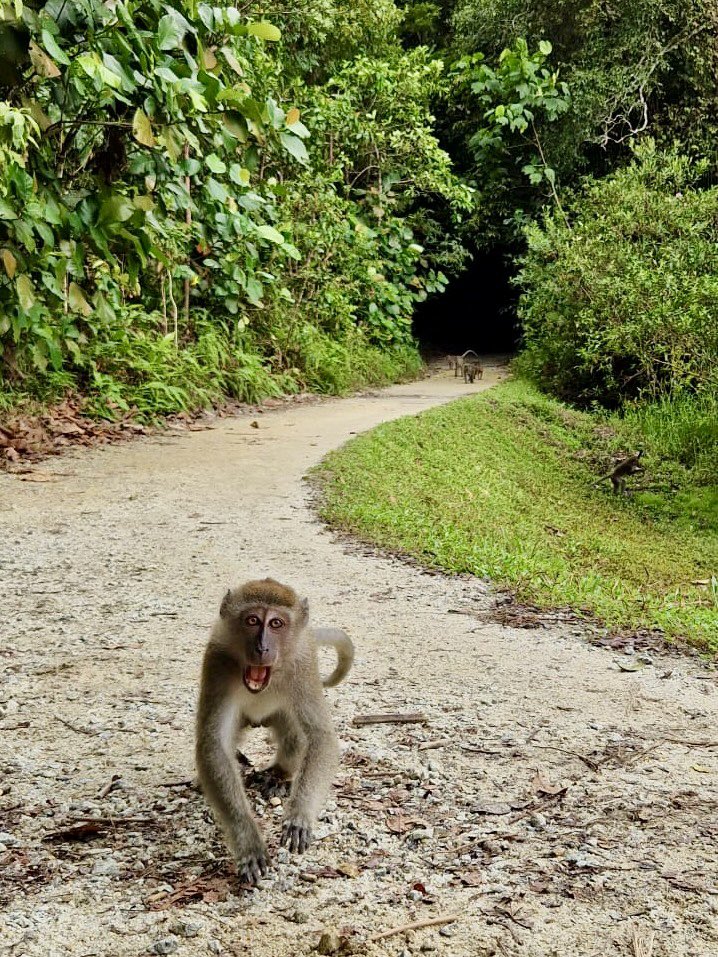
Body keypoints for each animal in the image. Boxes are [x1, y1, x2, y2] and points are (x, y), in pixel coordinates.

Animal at [195, 576, 356, 880]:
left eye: (276, 624)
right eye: (253, 620)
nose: (262, 648)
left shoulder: (303, 665)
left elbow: (320, 736)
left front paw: (299, 816)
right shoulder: (217, 662)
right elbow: (213, 743)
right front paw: (248, 841)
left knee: (294, 728)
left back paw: (279, 773)